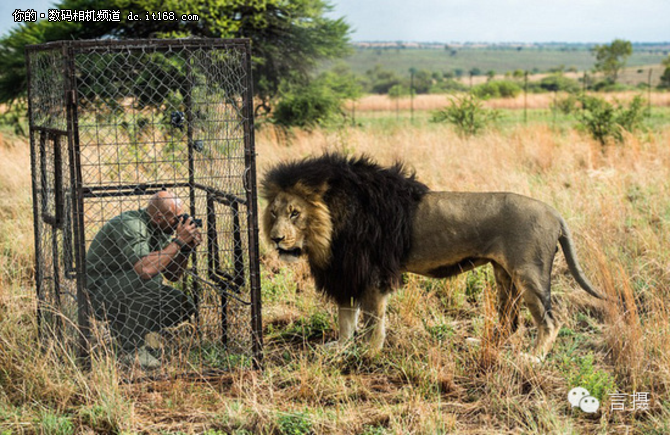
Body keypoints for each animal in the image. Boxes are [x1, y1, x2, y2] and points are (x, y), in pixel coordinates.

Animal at [260, 154, 608, 362]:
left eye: (295, 213)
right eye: (274, 213)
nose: (276, 238)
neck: (330, 227)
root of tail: (554, 213)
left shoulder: (372, 273)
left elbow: (373, 320)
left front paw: (371, 352)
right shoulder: (345, 272)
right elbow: (346, 317)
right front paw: (342, 346)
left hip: (528, 273)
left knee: (550, 318)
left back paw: (533, 358)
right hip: (503, 273)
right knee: (508, 319)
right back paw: (487, 344)